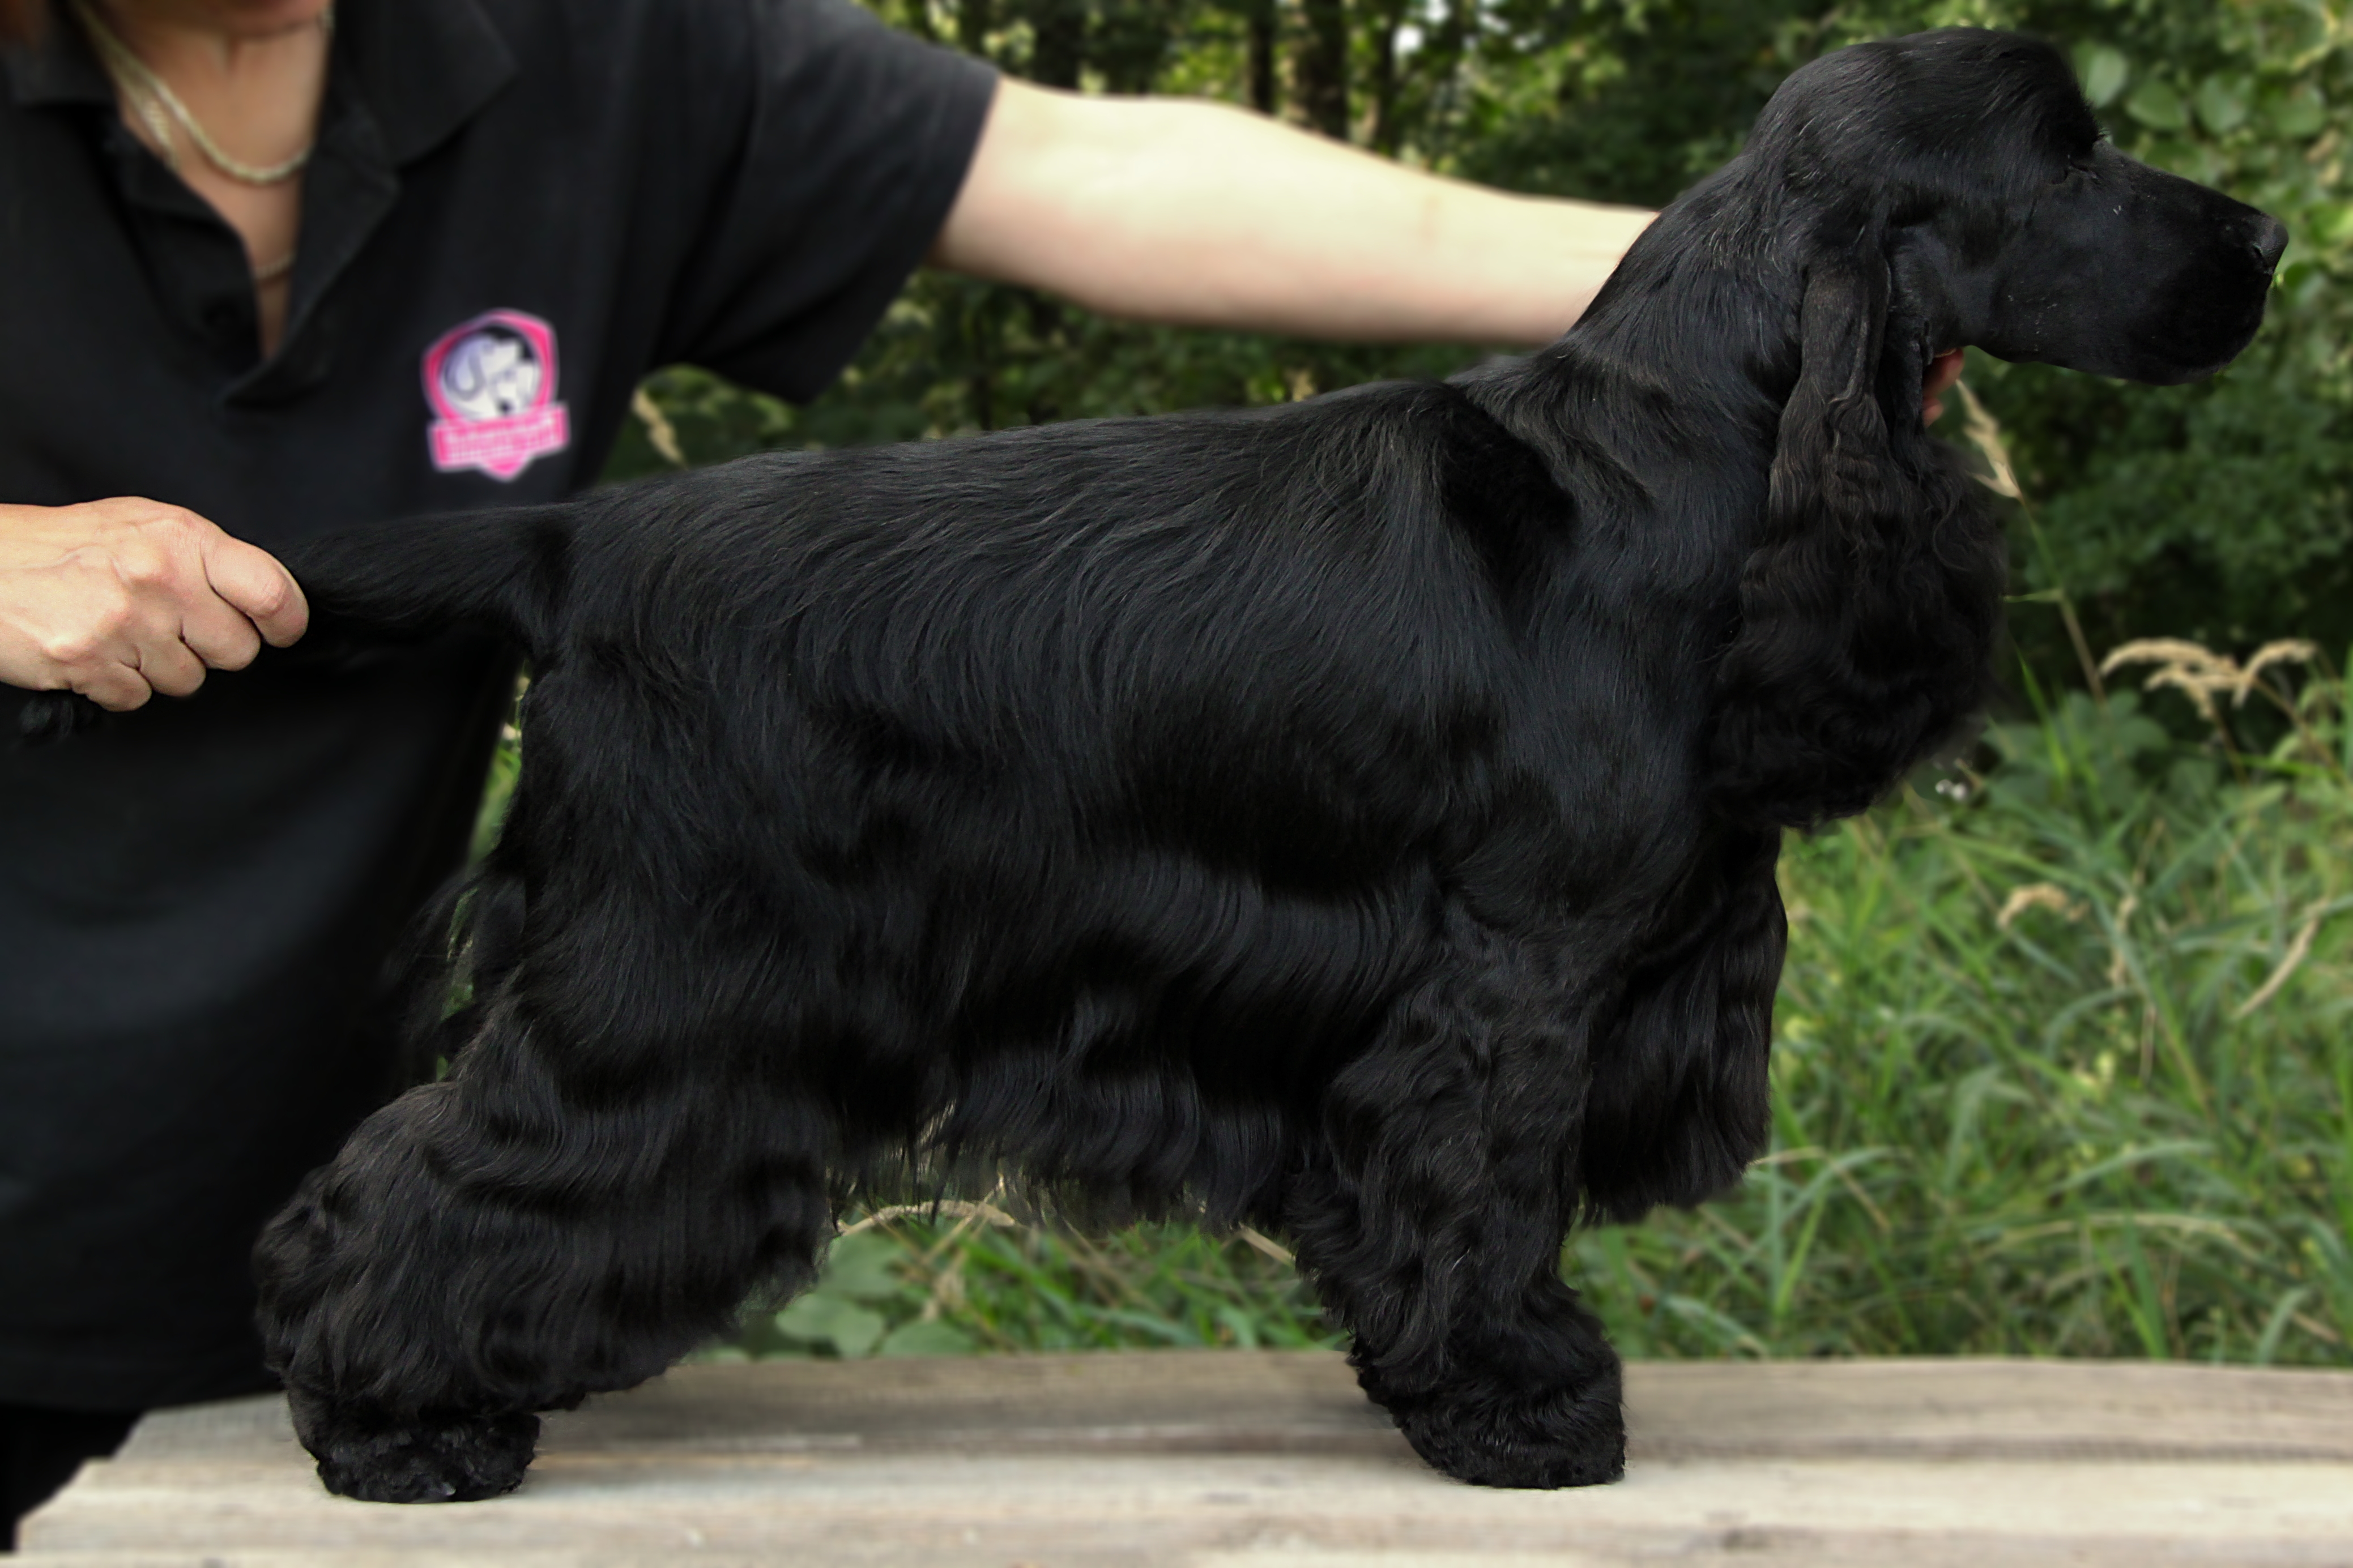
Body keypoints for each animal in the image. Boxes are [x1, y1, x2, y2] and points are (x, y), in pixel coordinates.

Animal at [43, 27, 2281, 1503]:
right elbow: (1486, 1188)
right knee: (420, 1184)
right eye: (2072, 161)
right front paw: (1517, 1402)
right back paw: (396, 1421)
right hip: (662, 980)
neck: (1690, 452)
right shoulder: (1516, 966)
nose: (2264, 237)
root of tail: (575, 538)